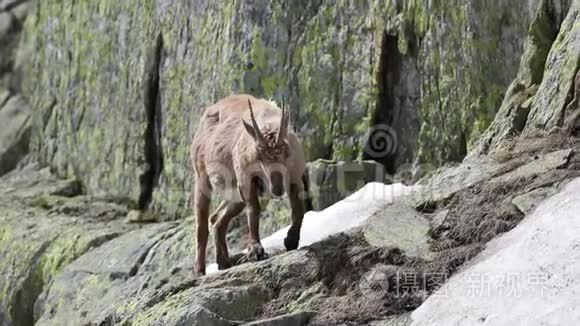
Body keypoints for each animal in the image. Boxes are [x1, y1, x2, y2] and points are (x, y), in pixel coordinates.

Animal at [190, 94, 308, 276]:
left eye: (286, 152)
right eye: (259, 156)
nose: (277, 189)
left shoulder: (295, 176)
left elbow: (298, 210)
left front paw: (291, 241)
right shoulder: (246, 179)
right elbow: (253, 209)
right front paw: (256, 250)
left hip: (234, 195)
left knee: (217, 219)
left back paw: (223, 262)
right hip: (202, 177)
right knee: (201, 225)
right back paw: (200, 270)